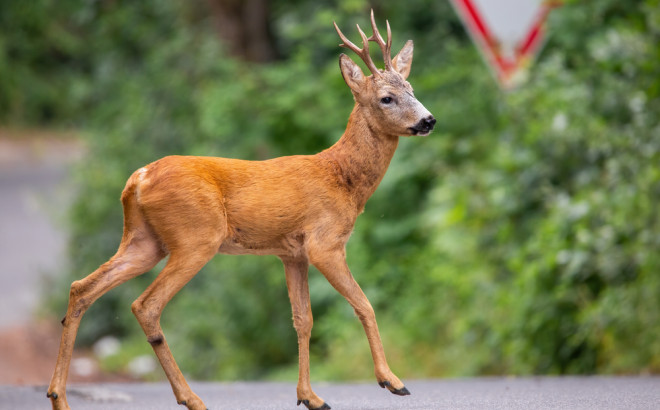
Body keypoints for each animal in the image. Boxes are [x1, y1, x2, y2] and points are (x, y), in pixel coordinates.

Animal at [49, 9, 436, 410]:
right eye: (387, 98)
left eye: (412, 89)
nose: (428, 120)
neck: (342, 178)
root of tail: (138, 178)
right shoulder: (324, 243)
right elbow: (364, 304)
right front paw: (391, 380)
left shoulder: (292, 253)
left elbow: (303, 319)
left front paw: (310, 397)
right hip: (196, 237)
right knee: (146, 305)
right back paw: (192, 398)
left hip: (144, 241)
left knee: (82, 288)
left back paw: (58, 395)